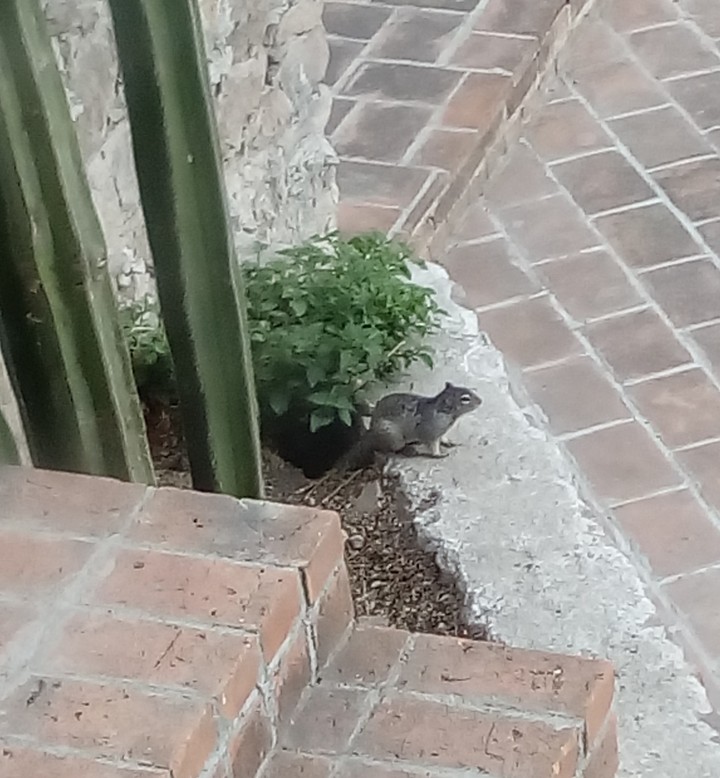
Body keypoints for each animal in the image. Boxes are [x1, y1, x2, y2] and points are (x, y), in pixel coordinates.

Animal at [339, 382, 482, 470]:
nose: (481, 401)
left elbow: (443, 438)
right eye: (465, 399)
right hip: (394, 437)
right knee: (391, 450)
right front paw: (438, 454)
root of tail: (371, 430)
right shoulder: (430, 432)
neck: (443, 412)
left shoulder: (441, 431)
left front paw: (449, 442)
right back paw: (410, 450)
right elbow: (433, 445)